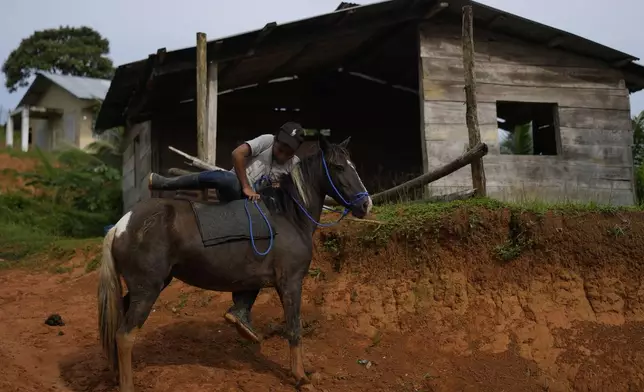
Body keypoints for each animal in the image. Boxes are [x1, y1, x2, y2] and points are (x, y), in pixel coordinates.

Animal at [98, 134, 374, 388]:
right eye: (338, 167)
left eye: (353, 165)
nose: (365, 204)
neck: (289, 216)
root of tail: (122, 225)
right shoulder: (291, 283)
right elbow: (294, 329)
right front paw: (301, 377)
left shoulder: (257, 277)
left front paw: (240, 322)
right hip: (147, 289)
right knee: (125, 335)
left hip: (145, 287)